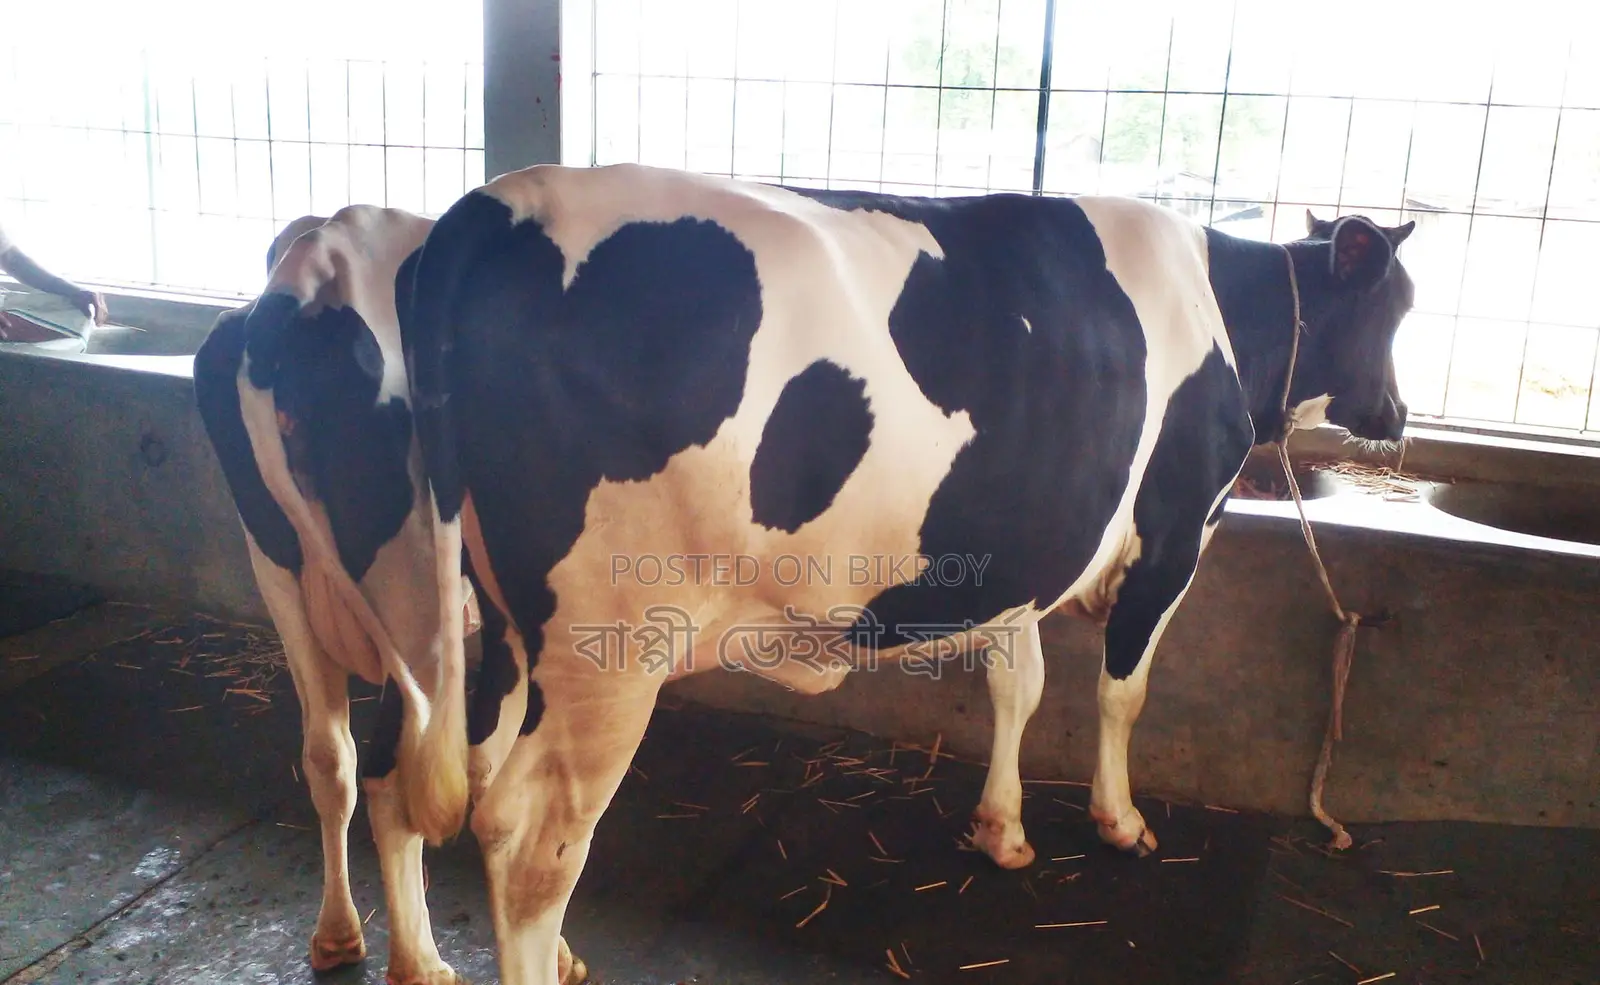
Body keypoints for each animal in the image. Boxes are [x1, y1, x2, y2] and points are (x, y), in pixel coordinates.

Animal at [385, 162, 1415, 984]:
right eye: (1396, 307)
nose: (1399, 415)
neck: (1225, 312)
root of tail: (497, 205)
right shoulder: (1176, 531)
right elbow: (1123, 691)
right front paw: (1120, 820)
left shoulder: (1019, 553)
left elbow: (1018, 684)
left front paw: (1002, 829)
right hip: (612, 648)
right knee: (531, 839)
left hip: (498, 619)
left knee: (437, 770)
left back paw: (468, 953)